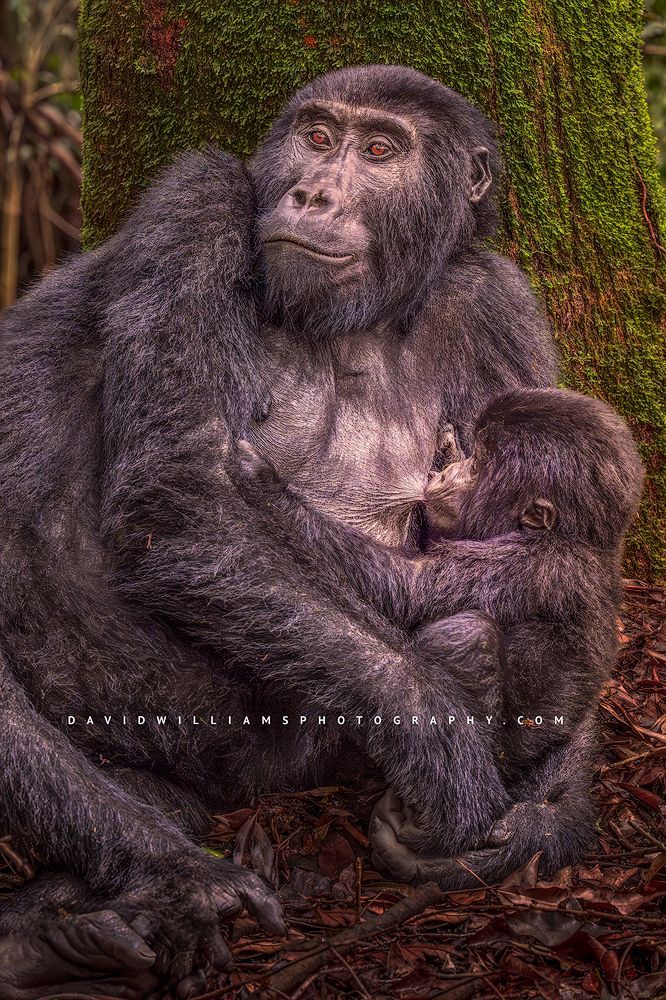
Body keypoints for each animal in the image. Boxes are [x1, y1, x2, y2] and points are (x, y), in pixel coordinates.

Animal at [0, 65, 556, 995]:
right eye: (319, 137)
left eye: (380, 150)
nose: (316, 191)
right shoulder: (198, 201)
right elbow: (181, 492)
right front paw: (441, 743)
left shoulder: (502, 309)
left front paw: (545, 816)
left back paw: (70, 927)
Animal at [230, 386, 644, 887]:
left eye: (481, 466)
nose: (454, 471)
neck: (576, 537)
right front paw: (446, 442)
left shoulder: (524, 565)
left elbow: (410, 587)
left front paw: (264, 482)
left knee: (467, 634)